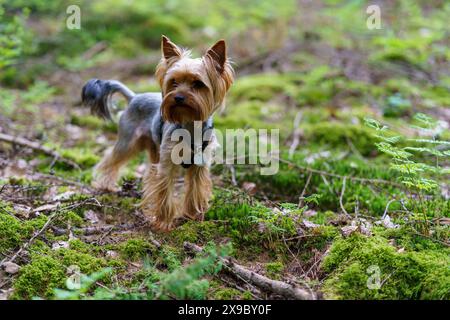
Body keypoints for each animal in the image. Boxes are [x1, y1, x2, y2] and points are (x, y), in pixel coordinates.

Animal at [81, 35, 234, 231]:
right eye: (173, 82)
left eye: (198, 84)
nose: (178, 97)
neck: (190, 124)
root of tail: (134, 97)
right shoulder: (168, 161)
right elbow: (164, 191)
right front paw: (163, 222)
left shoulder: (200, 164)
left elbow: (195, 189)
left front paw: (192, 215)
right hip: (128, 142)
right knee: (111, 160)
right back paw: (106, 185)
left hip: (154, 148)